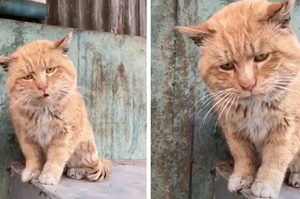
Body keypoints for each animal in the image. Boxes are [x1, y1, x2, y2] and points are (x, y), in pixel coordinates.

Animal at [0, 32, 111, 185]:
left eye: (50, 70)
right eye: (28, 76)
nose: (42, 86)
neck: (43, 111)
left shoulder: (65, 135)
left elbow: (57, 156)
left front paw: (49, 174)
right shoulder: (26, 137)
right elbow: (33, 156)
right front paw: (32, 170)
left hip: (85, 146)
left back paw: (76, 171)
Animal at [177, 0, 300, 197]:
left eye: (261, 57)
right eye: (227, 66)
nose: (248, 84)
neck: (255, 107)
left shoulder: (288, 128)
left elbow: (276, 158)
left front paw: (265, 183)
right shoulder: (233, 129)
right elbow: (243, 155)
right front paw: (242, 177)